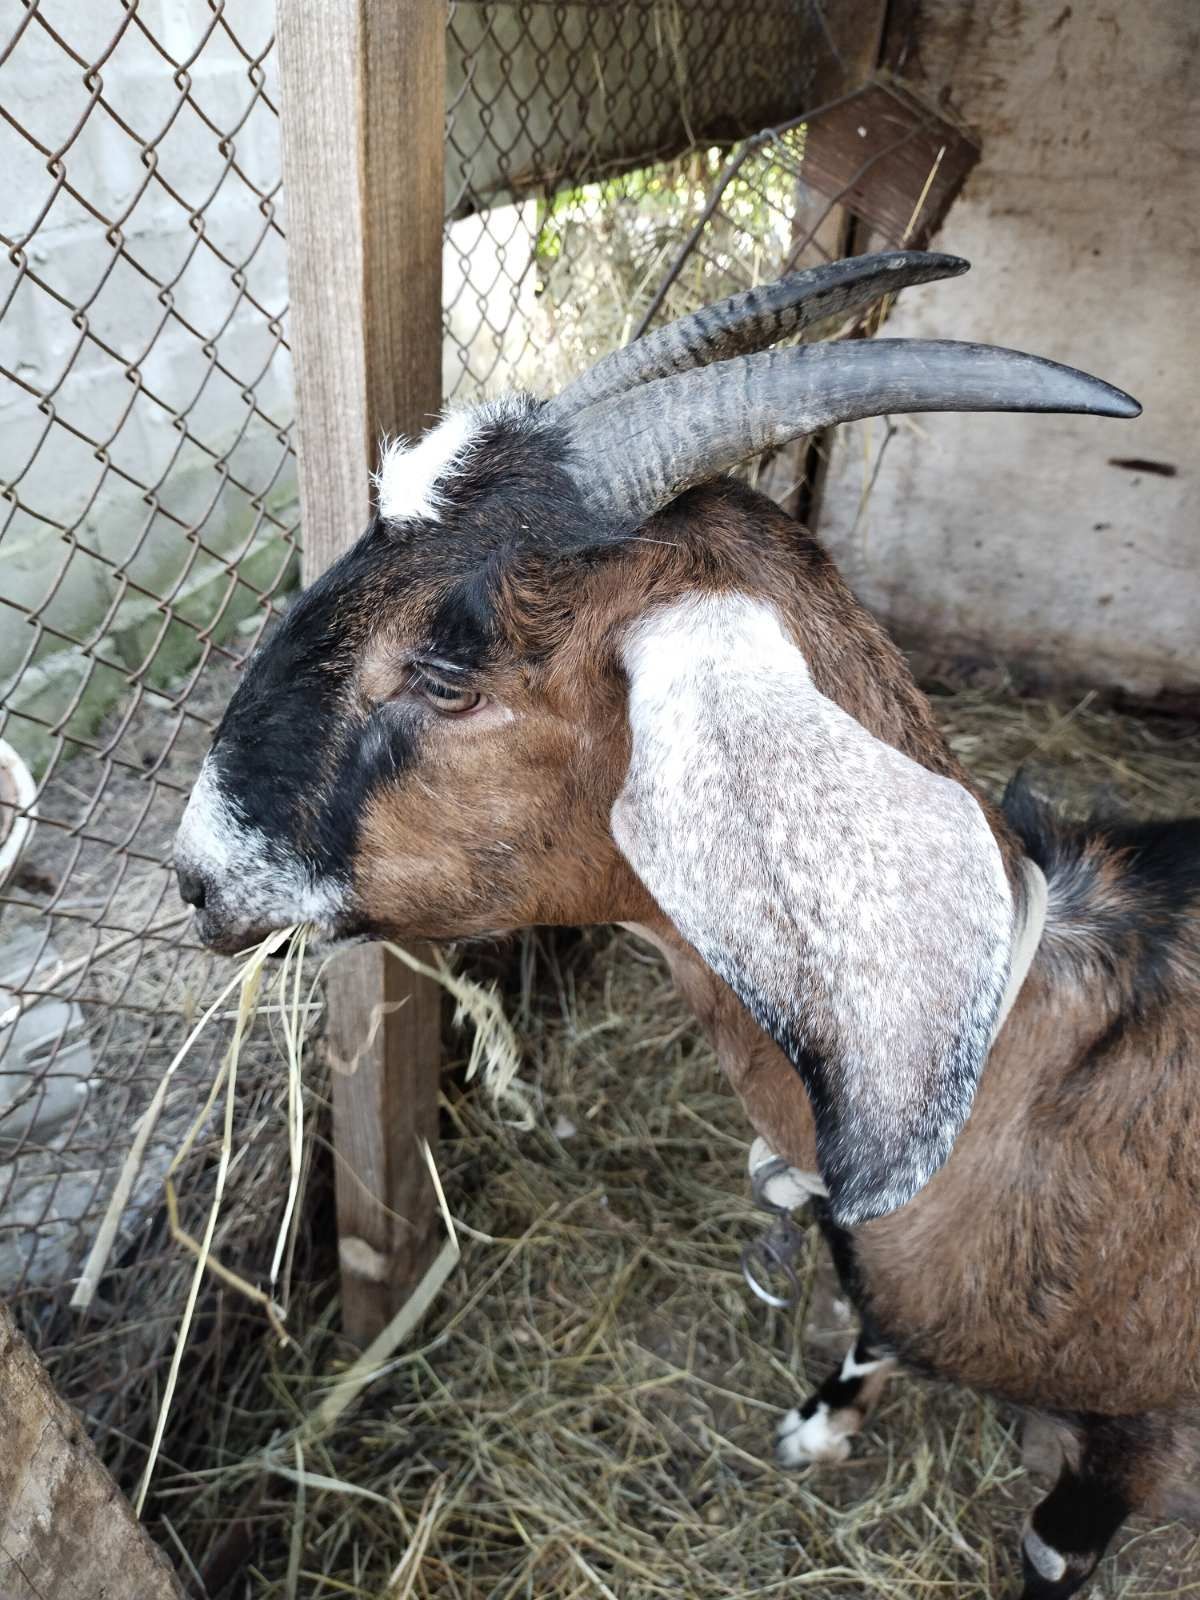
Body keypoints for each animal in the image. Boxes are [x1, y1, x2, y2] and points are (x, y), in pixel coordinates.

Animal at [173, 256, 1196, 1593]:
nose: (195, 872)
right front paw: (817, 1424)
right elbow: (865, 1332)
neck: (1020, 1073)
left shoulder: (1131, 1443)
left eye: (447, 677)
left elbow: (1050, 1546)